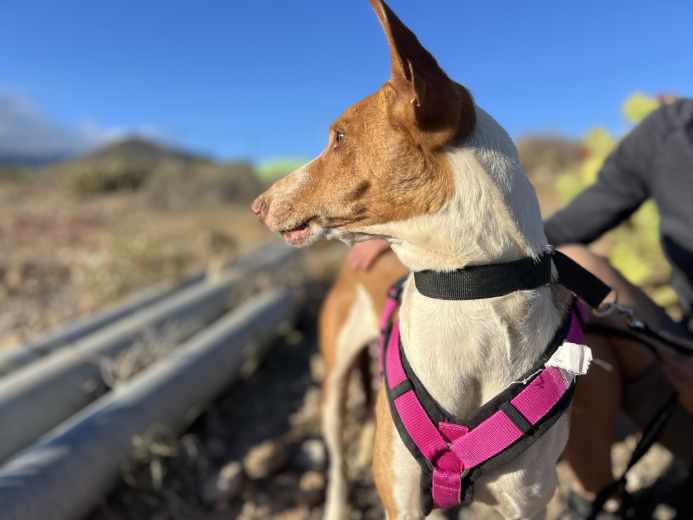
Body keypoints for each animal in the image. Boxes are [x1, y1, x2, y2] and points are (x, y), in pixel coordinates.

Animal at [252, 1, 574, 518]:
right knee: (337, 459)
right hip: (334, 383)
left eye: (339, 137)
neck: (466, 290)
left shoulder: (525, 502)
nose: (258, 205)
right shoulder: (400, 497)